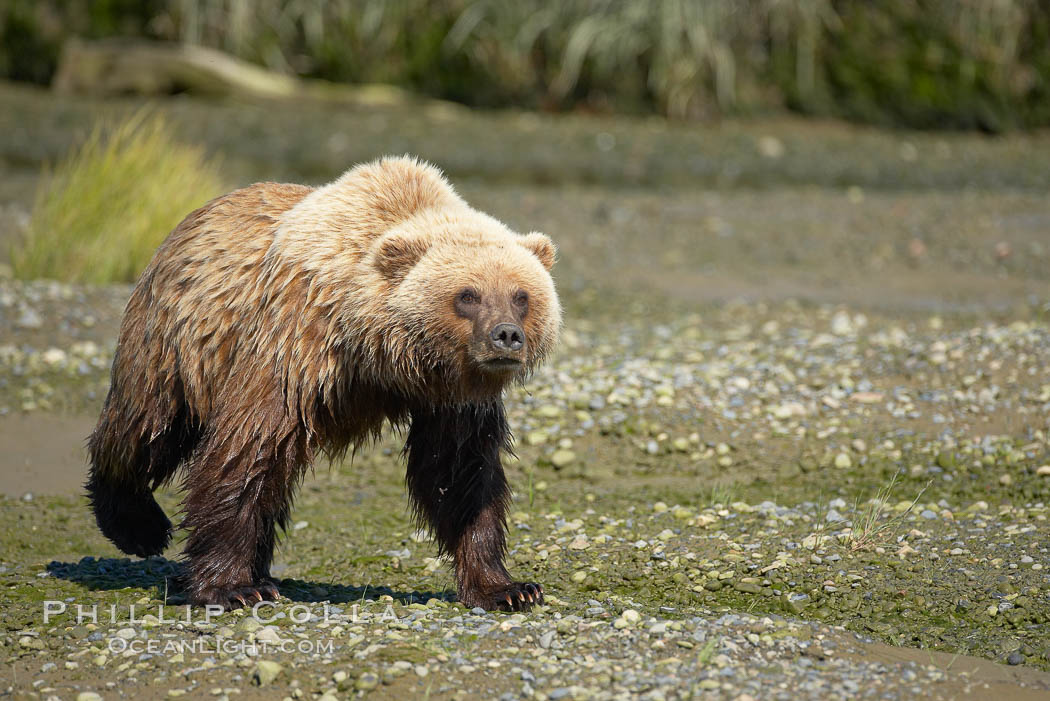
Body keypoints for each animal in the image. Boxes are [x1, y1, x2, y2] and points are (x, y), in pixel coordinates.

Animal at [87, 156, 562, 608]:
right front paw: (229, 587)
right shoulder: (295, 349)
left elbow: (461, 474)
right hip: (176, 342)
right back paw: (137, 525)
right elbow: (247, 451)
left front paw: (508, 588)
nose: (506, 335)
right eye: (468, 295)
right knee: (146, 427)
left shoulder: (454, 395)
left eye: (521, 295)